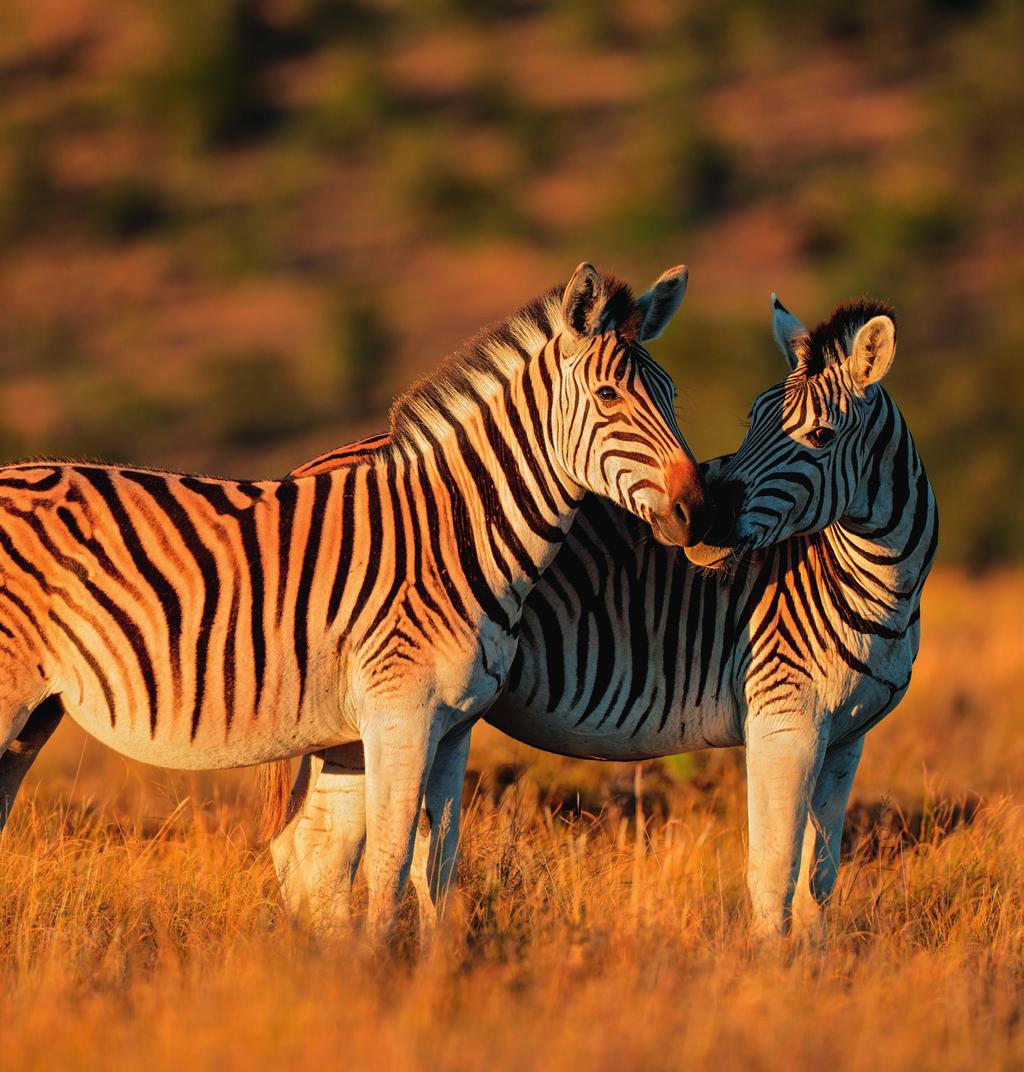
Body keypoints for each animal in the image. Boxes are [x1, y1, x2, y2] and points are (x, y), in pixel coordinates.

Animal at [0, 265, 703, 939]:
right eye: (608, 396)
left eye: (672, 395)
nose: (698, 512)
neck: (453, 537)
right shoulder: (399, 716)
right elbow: (389, 865)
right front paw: (375, 974)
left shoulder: (456, 727)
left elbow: (438, 868)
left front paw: (436, 971)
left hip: (36, 714)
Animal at [254, 291, 935, 939]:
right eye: (754, 420)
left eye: (819, 436)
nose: (705, 518)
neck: (877, 582)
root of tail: (311, 465)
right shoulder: (783, 720)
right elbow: (774, 873)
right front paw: (772, 973)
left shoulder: (845, 739)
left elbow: (819, 882)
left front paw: (814, 970)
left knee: (308, 846)